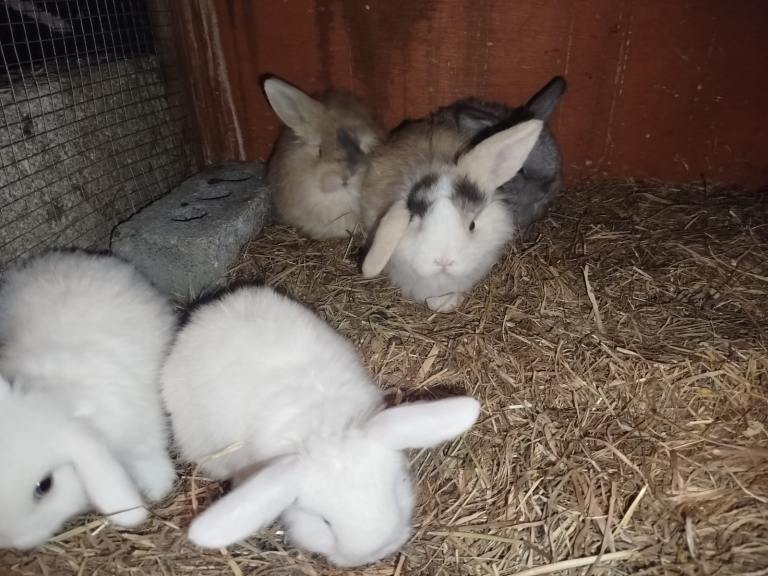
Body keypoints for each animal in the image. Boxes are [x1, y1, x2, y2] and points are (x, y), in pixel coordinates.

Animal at [0, 249, 177, 549]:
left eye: (45, 485)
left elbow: (149, 458)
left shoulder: (143, 432)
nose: (15, 543)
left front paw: (157, 488)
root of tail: (78, 258)